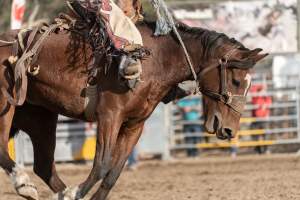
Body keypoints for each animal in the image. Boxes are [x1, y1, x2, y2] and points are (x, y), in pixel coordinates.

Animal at [0, 21, 268, 199]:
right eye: (236, 81)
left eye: (249, 84)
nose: (229, 130)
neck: (155, 60)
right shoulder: (110, 117)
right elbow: (102, 164)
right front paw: (76, 191)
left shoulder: (134, 125)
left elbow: (113, 173)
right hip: (5, 107)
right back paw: (24, 184)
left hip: (40, 118)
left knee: (44, 165)